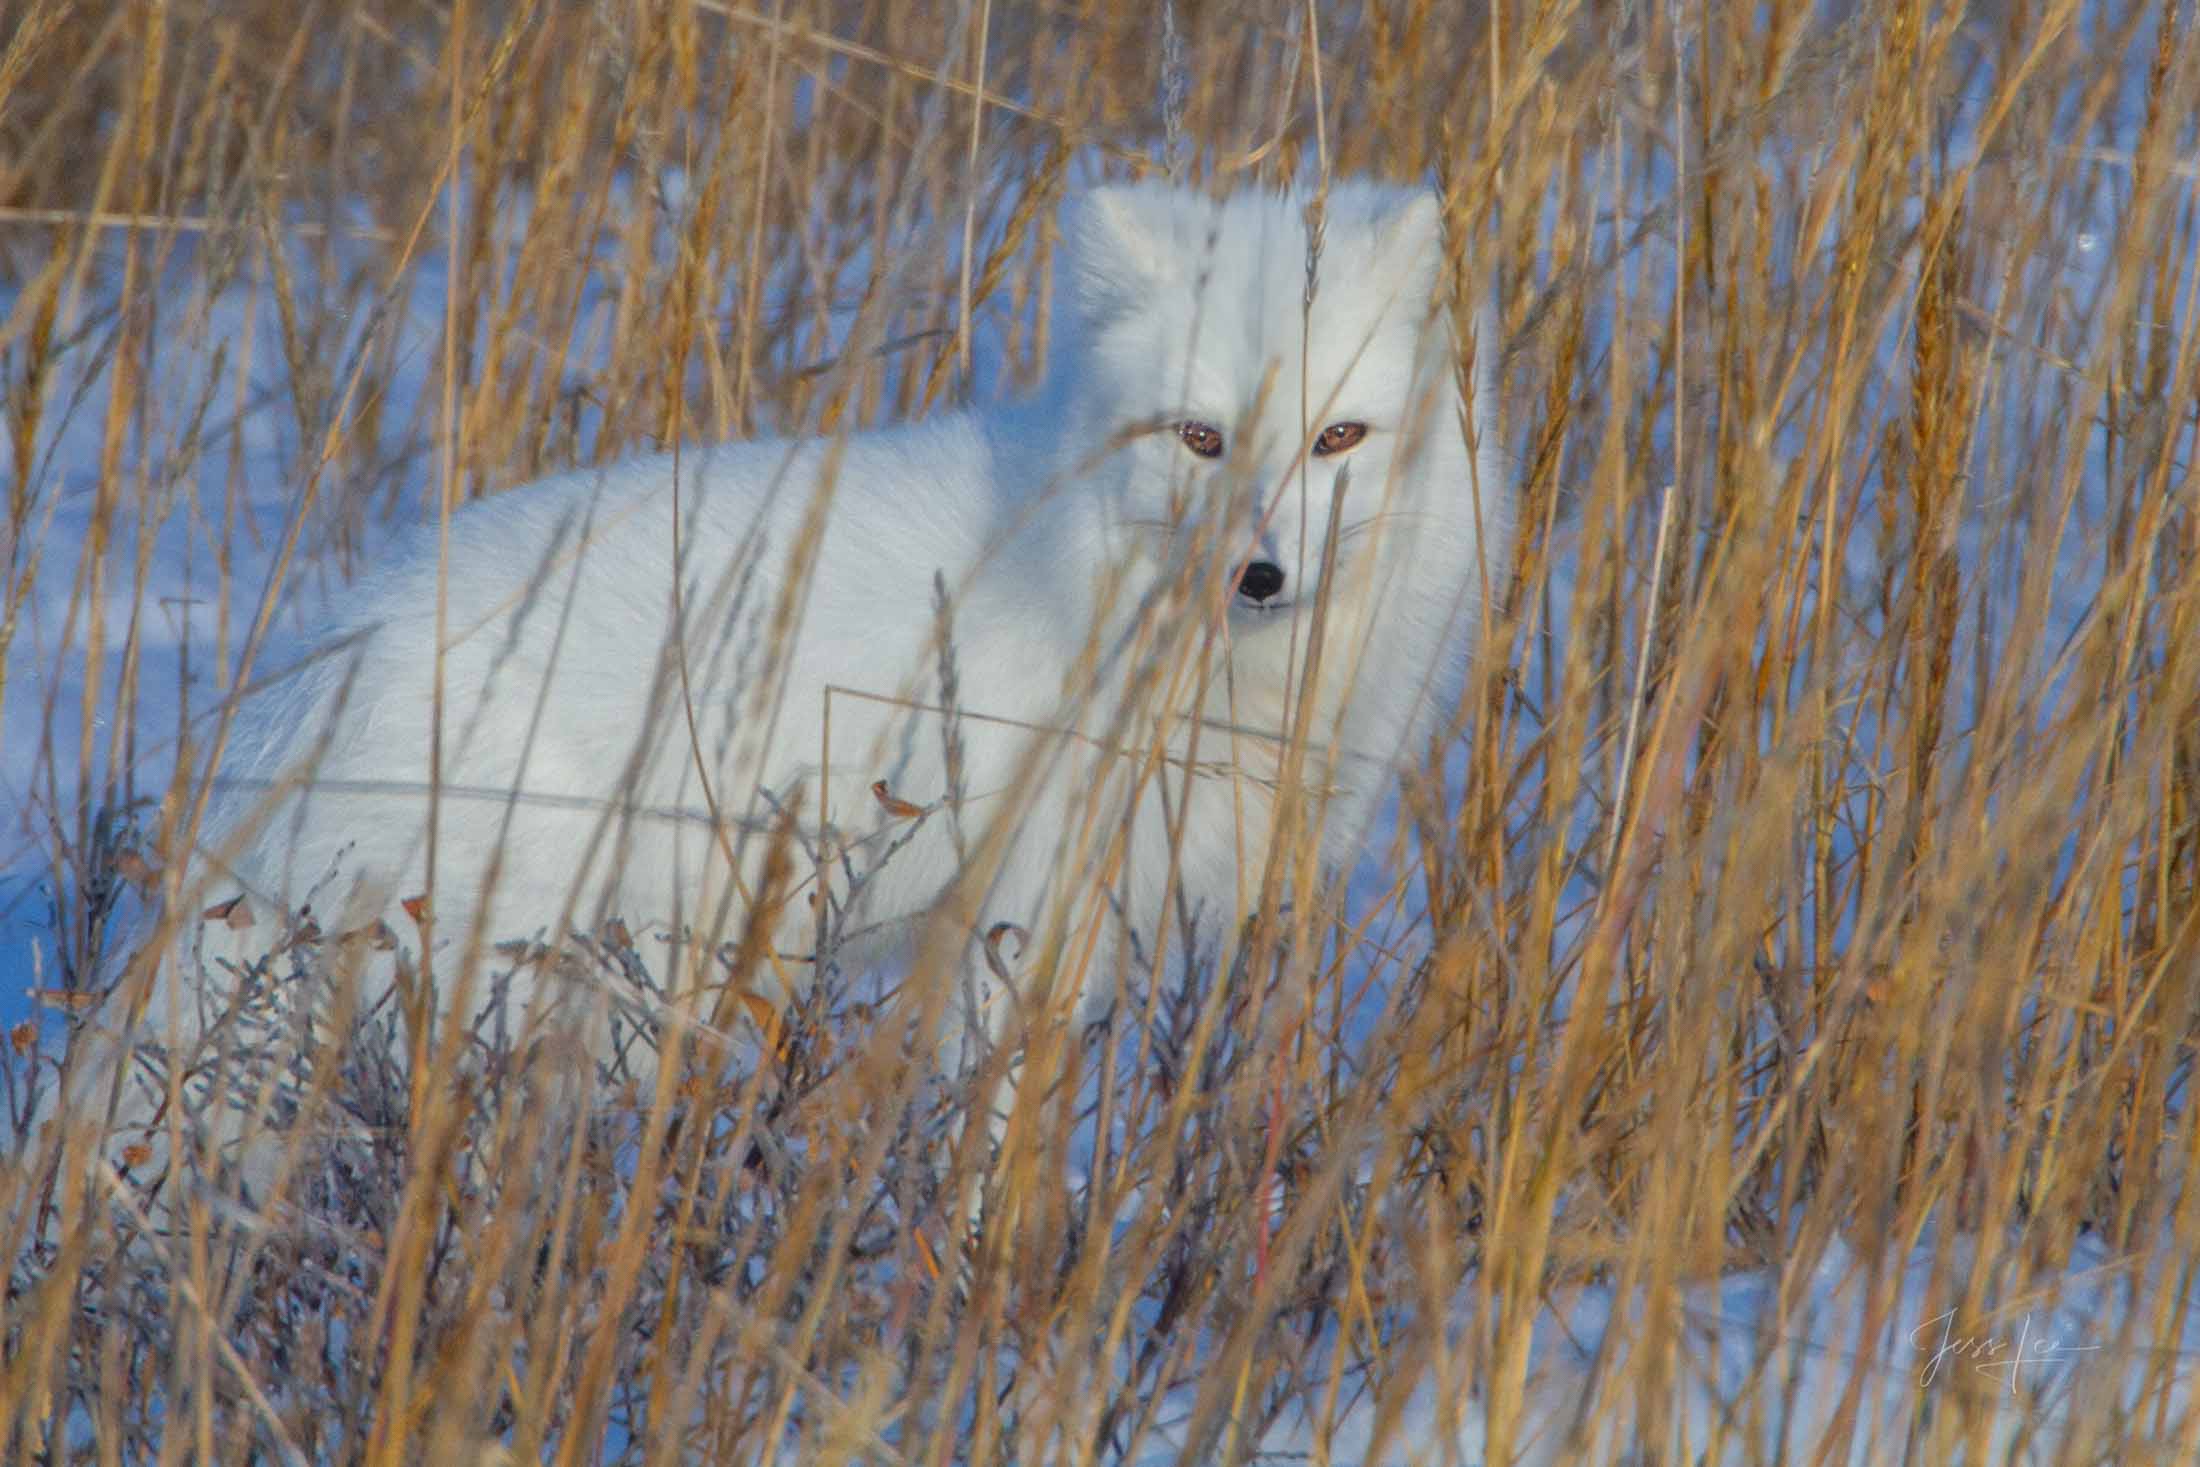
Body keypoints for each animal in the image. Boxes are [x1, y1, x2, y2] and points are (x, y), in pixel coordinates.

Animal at [33, 178, 1511, 1203]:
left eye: (1339, 438)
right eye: (1202, 437)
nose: (1261, 575)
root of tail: (323, 669)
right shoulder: (1016, 924)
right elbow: (990, 1136)